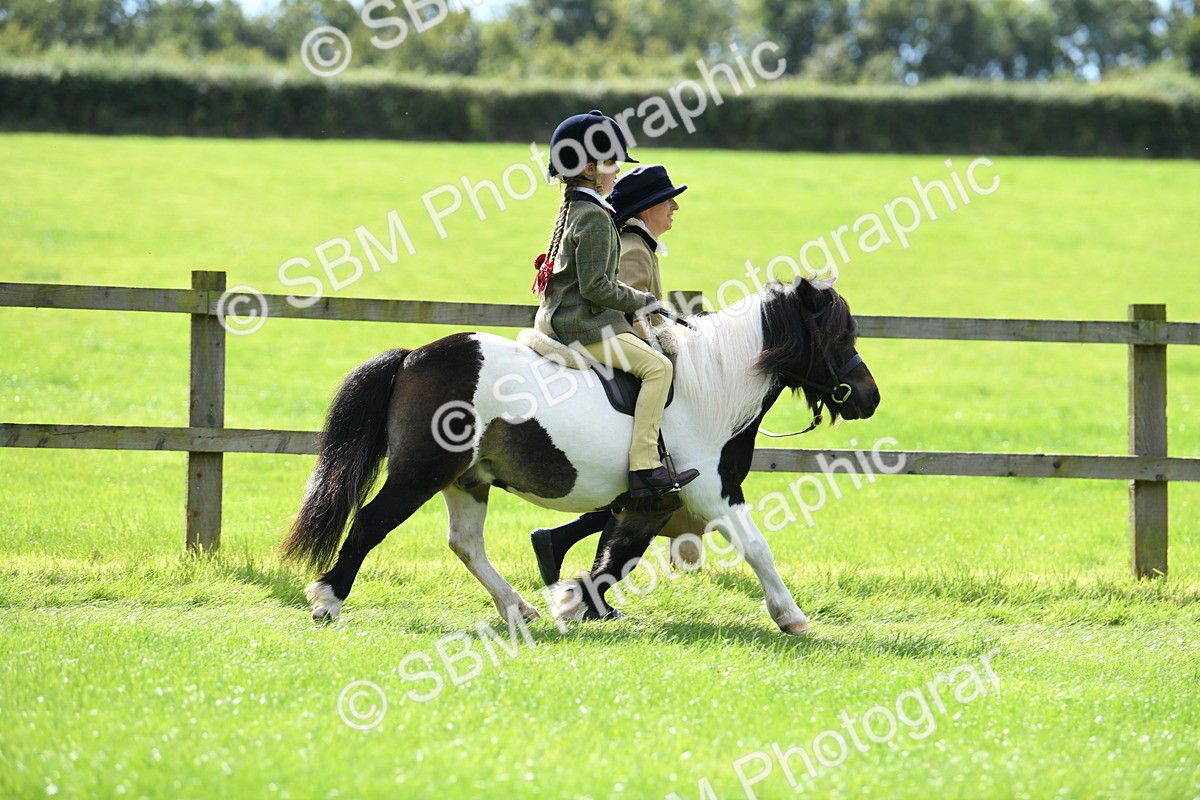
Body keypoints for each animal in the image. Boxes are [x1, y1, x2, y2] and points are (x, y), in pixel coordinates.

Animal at [281, 277, 879, 634]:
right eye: (839, 335)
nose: (869, 397)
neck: (714, 384)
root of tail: (413, 357)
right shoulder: (712, 492)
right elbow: (757, 549)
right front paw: (792, 617)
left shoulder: (653, 501)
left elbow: (617, 555)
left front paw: (572, 601)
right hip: (420, 474)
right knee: (370, 523)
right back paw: (327, 601)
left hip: (468, 479)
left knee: (466, 544)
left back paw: (517, 608)